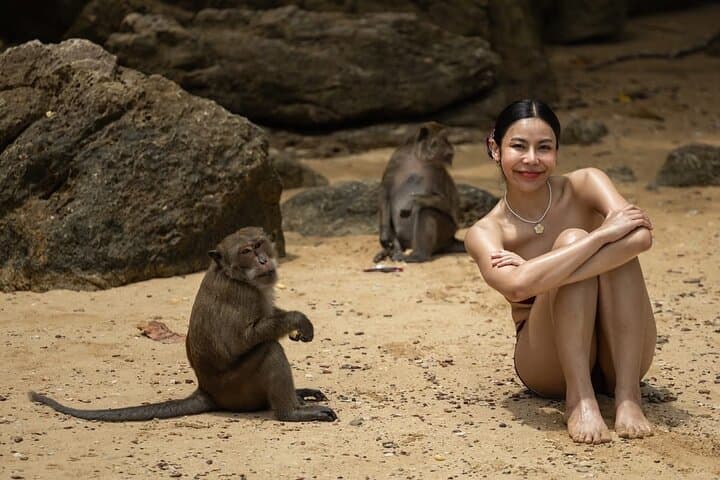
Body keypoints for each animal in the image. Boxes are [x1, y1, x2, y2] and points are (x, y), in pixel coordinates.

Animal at [29, 227, 337, 423]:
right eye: (246, 251)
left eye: (260, 244)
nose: (262, 260)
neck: (235, 275)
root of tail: (207, 391)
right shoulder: (241, 294)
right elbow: (241, 340)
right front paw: (298, 321)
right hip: (237, 389)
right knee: (269, 350)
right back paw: (291, 412)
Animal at [373, 122, 465, 263]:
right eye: (445, 138)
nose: (451, 147)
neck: (418, 158)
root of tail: (450, 240)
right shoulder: (396, 159)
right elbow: (385, 191)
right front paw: (384, 235)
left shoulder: (437, 170)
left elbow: (445, 201)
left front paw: (412, 201)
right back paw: (390, 251)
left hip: (447, 231)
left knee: (426, 211)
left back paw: (418, 255)